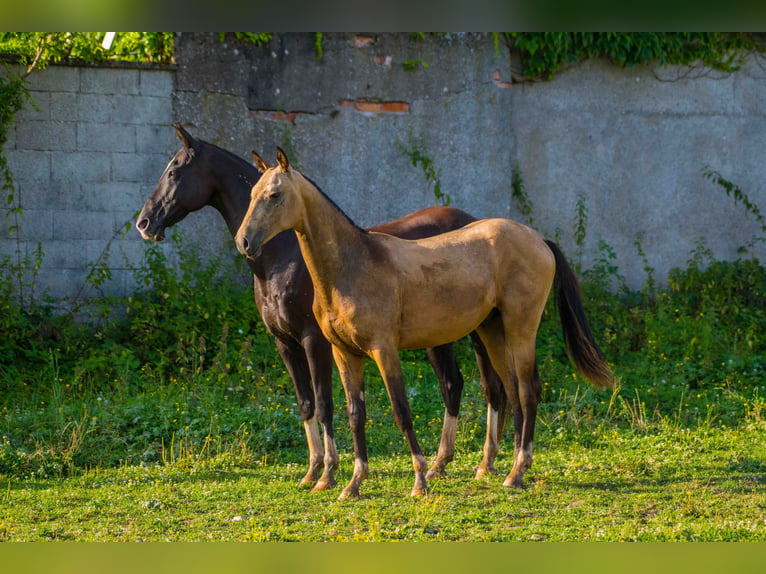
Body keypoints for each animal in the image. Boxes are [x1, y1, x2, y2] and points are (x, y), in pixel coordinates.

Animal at [138, 124, 510, 492]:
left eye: (174, 171)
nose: (145, 223)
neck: (282, 258)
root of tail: (474, 221)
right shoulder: (285, 344)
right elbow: (306, 405)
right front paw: (313, 469)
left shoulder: (314, 341)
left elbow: (325, 405)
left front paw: (330, 471)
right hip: (441, 336)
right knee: (456, 385)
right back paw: (443, 464)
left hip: (471, 332)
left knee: (481, 387)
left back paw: (474, 462)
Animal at [237, 148, 616, 500]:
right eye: (252, 193)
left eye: (274, 195)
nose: (244, 241)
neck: (353, 265)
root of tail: (539, 239)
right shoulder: (345, 354)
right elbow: (356, 415)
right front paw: (353, 483)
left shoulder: (383, 350)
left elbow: (401, 411)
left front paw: (419, 479)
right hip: (492, 330)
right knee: (509, 391)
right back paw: (496, 466)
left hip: (521, 329)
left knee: (528, 390)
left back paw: (517, 472)